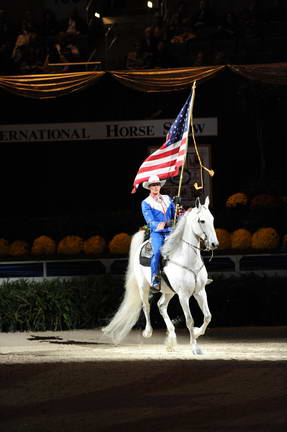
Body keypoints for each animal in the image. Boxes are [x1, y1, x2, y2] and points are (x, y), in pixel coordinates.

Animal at [102, 196, 219, 354]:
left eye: (212, 219)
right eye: (201, 221)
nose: (214, 244)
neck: (188, 260)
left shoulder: (200, 291)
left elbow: (207, 316)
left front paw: (196, 332)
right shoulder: (183, 295)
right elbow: (189, 320)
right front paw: (195, 347)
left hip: (169, 291)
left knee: (161, 305)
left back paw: (172, 339)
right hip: (143, 287)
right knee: (146, 306)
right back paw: (148, 332)